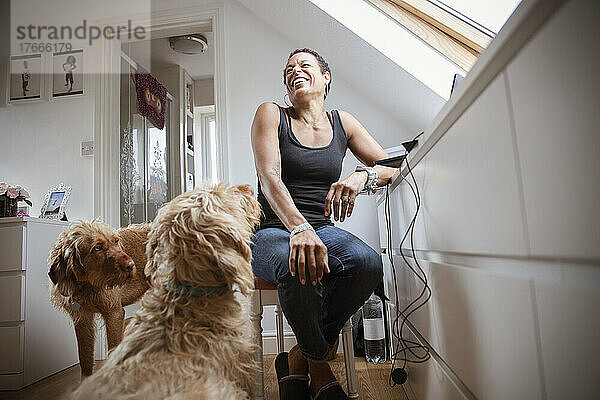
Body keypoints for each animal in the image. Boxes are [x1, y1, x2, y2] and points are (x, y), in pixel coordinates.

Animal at [48, 220, 150, 376]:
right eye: (97, 248)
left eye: (116, 241)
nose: (131, 266)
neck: (86, 285)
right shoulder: (82, 318)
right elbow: (85, 358)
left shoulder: (114, 314)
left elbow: (113, 350)